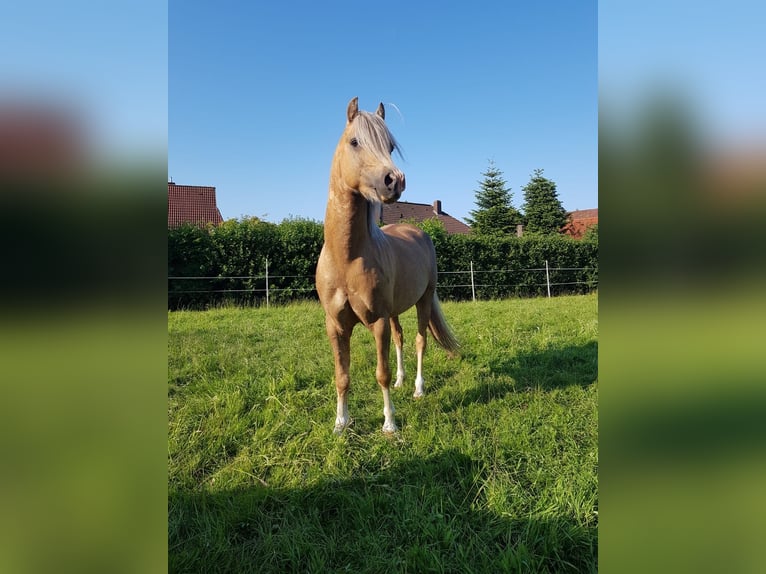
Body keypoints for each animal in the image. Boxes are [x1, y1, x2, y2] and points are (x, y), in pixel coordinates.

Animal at [316, 98, 460, 436]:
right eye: (355, 142)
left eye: (391, 146)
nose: (395, 180)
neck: (347, 258)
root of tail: (419, 233)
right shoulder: (335, 325)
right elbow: (342, 375)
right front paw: (340, 424)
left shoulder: (377, 321)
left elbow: (379, 373)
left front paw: (390, 423)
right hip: (395, 310)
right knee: (400, 339)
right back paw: (401, 380)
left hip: (423, 300)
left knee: (420, 341)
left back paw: (418, 388)